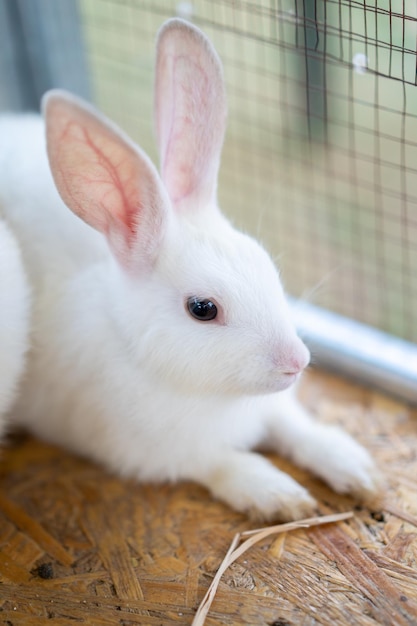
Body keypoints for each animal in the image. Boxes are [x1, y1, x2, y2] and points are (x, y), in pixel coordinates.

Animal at [0, 18, 380, 516]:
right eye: (202, 309)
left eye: (266, 264)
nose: (296, 363)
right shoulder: (155, 452)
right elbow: (221, 462)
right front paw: (282, 497)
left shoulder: (276, 409)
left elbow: (298, 429)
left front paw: (357, 468)